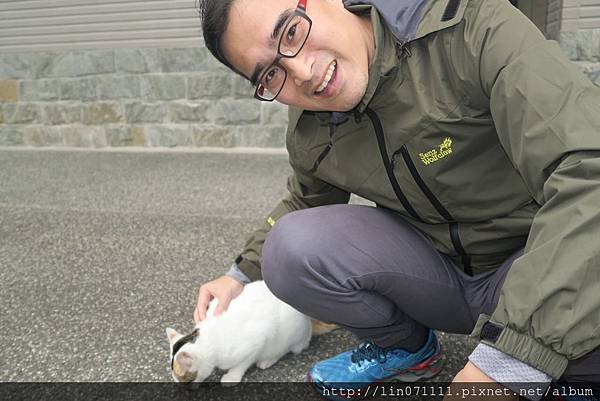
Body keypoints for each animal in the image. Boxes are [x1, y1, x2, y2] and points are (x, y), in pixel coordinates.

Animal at [166, 278, 336, 384]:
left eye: (182, 379)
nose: (178, 386)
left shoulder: (257, 341)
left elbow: (243, 363)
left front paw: (232, 377)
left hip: (291, 334)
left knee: (288, 349)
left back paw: (268, 360)